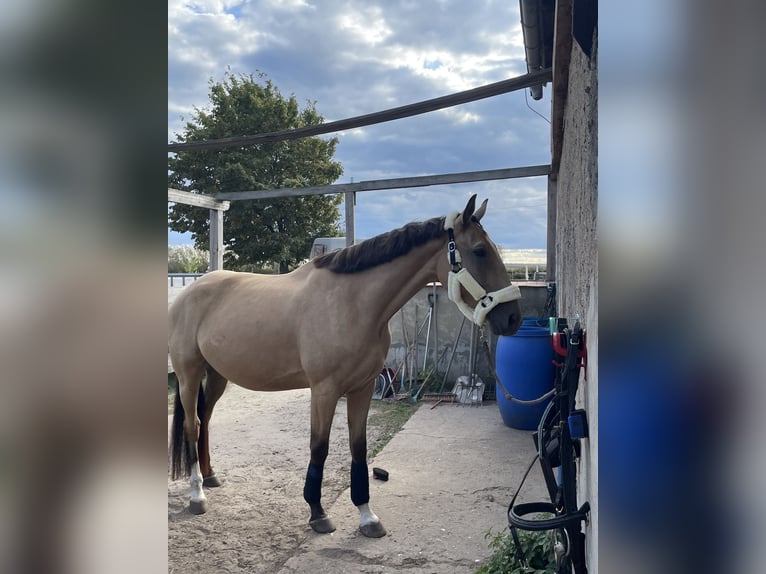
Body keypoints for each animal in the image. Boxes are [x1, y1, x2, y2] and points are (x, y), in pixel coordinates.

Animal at [169, 195, 524, 540]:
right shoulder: (325, 391)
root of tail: (188, 292)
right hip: (189, 375)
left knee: (205, 420)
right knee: (192, 425)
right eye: (479, 251)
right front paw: (318, 513)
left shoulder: (363, 387)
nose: (513, 318)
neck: (353, 303)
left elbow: (359, 447)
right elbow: (319, 447)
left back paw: (211, 477)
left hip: (217, 375)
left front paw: (367, 516)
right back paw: (197, 494)